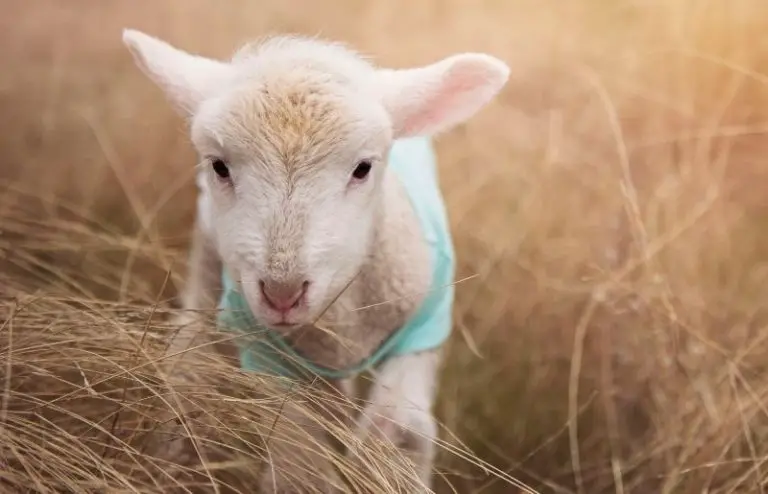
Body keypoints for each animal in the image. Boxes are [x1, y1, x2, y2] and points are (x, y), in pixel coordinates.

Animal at [121, 29, 510, 492]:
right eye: (219, 166)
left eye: (363, 168)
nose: (282, 292)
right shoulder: (279, 359)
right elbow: (298, 464)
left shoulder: (421, 331)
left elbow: (400, 435)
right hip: (208, 271)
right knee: (189, 365)